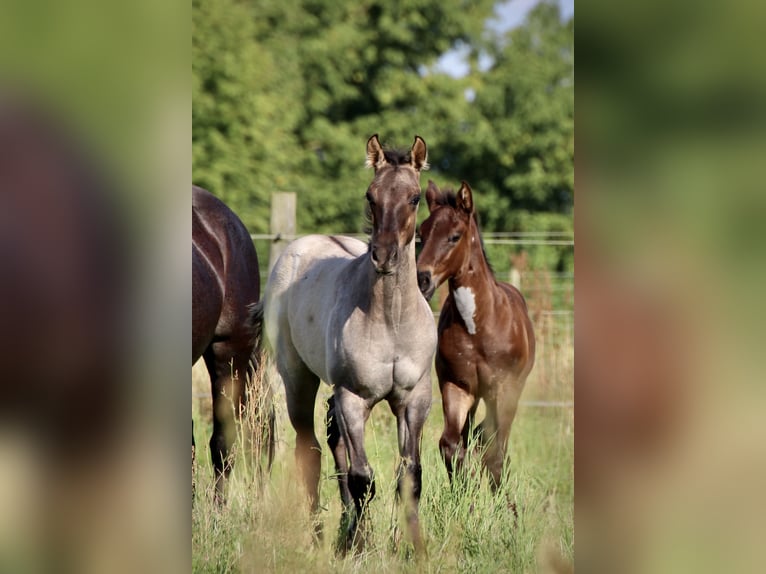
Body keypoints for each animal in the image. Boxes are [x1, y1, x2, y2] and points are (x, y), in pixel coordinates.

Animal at [260, 135, 436, 552]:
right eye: (371, 195)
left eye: (415, 197)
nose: (384, 256)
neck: (391, 320)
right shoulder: (353, 396)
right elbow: (362, 478)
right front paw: (358, 544)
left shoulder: (414, 399)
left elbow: (410, 476)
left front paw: (416, 549)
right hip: (299, 379)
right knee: (310, 450)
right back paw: (319, 535)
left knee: (334, 442)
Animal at [416, 180, 536, 490]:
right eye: (421, 234)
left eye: (454, 236)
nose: (422, 279)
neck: (479, 329)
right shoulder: (457, 386)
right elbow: (450, 445)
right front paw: (463, 494)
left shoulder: (505, 389)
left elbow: (494, 451)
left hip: (511, 390)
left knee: (494, 440)